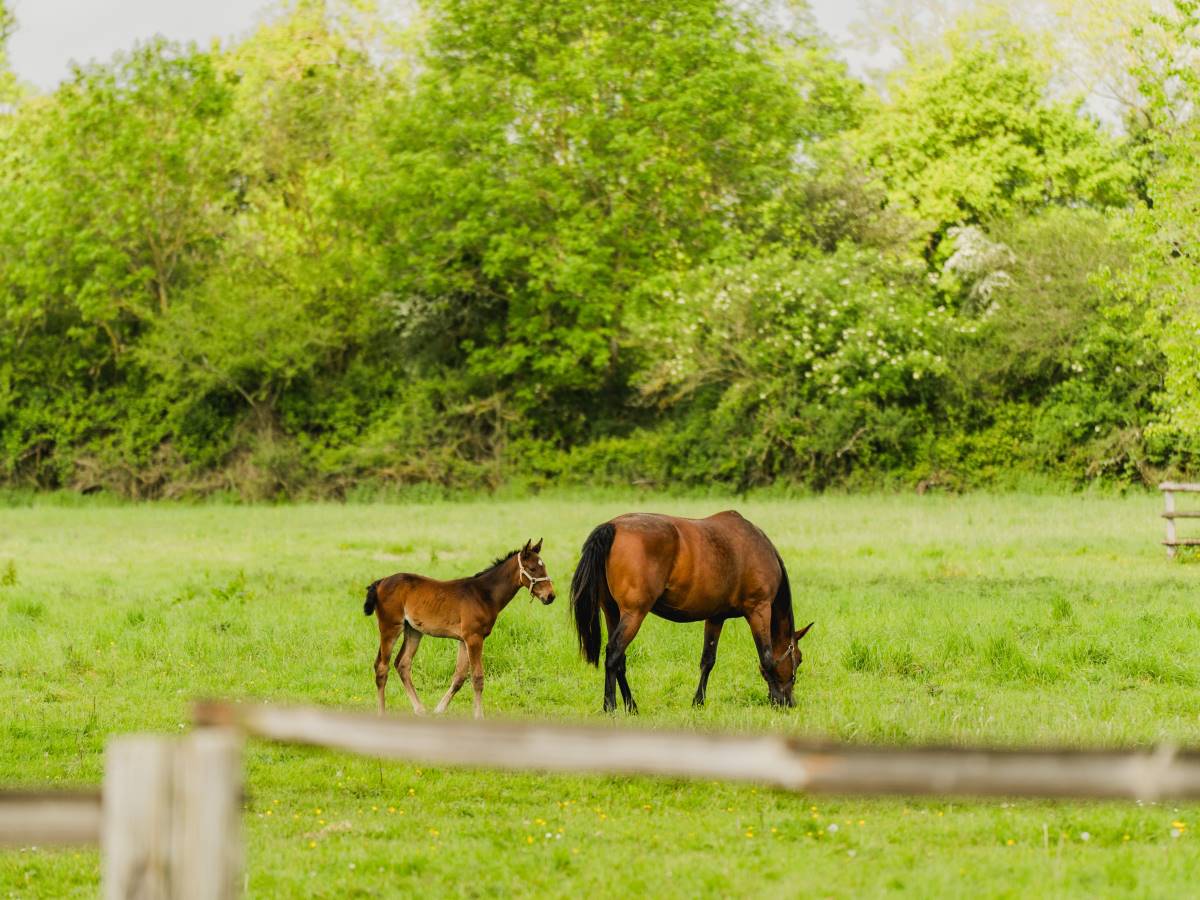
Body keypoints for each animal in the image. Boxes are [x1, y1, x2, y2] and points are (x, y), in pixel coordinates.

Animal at [362, 540, 554, 724]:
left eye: (544, 567)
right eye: (532, 568)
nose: (550, 596)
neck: (483, 595)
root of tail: (380, 582)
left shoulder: (464, 640)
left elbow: (460, 676)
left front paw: (439, 710)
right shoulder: (474, 638)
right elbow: (477, 677)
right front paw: (479, 716)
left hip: (413, 631)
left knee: (402, 663)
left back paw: (420, 710)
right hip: (390, 627)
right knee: (382, 667)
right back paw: (382, 713)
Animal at [566, 511, 811, 715]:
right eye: (799, 659)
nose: (791, 702)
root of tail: (613, 526)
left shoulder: (715, 617)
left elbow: (708, 660)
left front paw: (698, 702)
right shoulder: (759, 609)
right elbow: (767, 658)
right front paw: (777, 699)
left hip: (612, 611)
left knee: (620, 660)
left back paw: (631, 705)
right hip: (634, 613)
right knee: (614, 653)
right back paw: (610, 705)